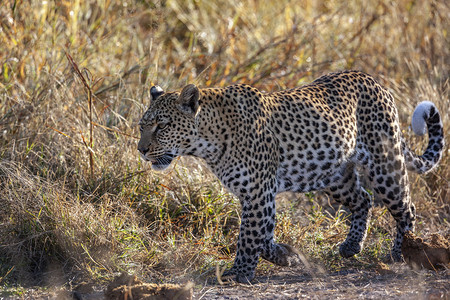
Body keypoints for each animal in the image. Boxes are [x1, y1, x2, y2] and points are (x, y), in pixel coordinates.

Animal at [136, 71, 442, 284]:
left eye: (162, 126)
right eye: (142, 126)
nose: (141, 150)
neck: (207, 141)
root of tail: (376, 82)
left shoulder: (259, 192)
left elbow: (249, 236)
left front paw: (238, 273)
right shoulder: (256, 195)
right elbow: (262, 236)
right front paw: (287, 256)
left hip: (385, 165)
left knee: (406, 207)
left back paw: (402, 252)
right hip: (334, 175)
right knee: (363, 200)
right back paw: (351, 245)